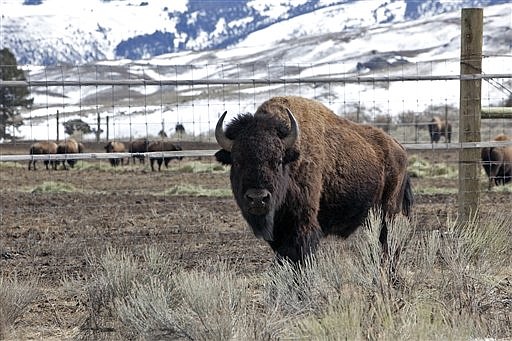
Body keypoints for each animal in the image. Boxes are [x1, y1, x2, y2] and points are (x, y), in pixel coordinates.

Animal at [214, 95, 414, 262]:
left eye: (278, 161)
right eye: (237, 161)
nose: (257, 198)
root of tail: (400, 148)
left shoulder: (303, 225)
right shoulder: (279, 232)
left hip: (389, 212)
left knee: (389, 244)